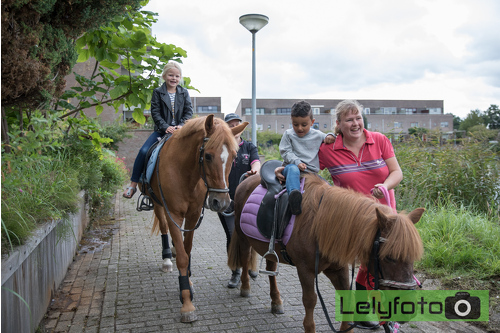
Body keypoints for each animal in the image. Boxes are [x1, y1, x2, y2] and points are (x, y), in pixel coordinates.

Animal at [144, 115, 247, 322]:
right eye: (207, 156)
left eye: (234, 156)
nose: (221, 203)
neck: (185, 172)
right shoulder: (174, 215)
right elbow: (183, 257)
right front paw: (187, 304)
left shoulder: (192, 215)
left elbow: (187, 249)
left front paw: (188, 284)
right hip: (158, 204)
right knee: (164, 228)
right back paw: (167, 259)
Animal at [229, 172, 424, 330]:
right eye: (390, 257)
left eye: (413, 259)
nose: (407, 310)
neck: (319, 224)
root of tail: (246, 180)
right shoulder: (305, 270)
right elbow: (310, 301)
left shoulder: (338, 269)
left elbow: (347, 300)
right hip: (243, 238)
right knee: (245, 260)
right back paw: (245, 287)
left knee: (271, 269)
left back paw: (276, 302)